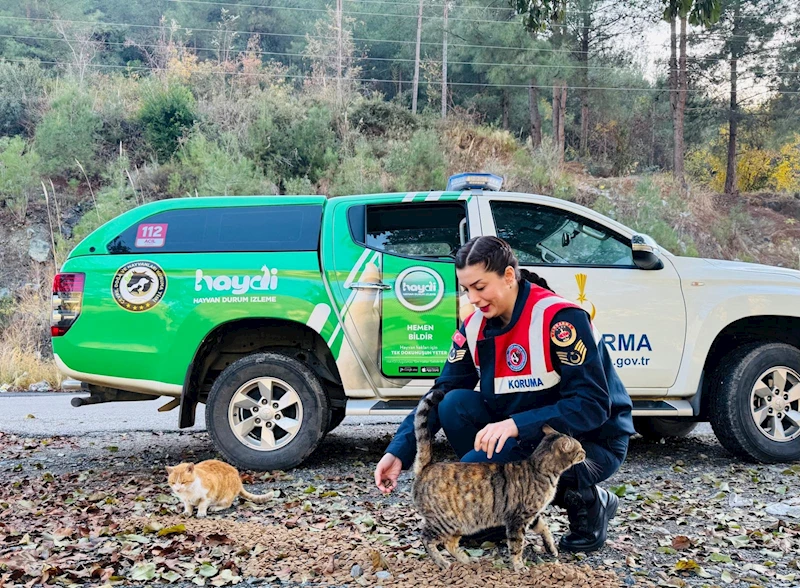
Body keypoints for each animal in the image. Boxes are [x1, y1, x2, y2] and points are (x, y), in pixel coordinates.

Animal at [416, 390, 584, 568]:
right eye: (580, 448)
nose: (585, 453)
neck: (539, 469)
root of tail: (427, 466)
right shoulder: (518, 518)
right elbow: (517, 545)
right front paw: (519, 566)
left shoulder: (532, 514)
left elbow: (544, 527)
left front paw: (551, 547)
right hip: (445, 521)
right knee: (427, 538)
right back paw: (442, 562)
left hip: (460, 524)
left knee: (450, 543)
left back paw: (466, 560)